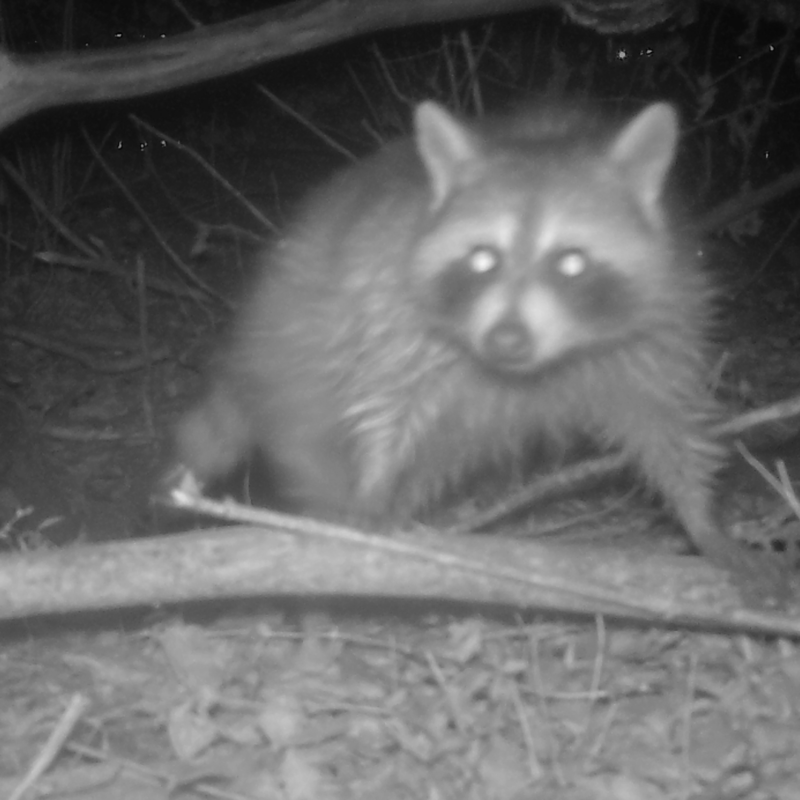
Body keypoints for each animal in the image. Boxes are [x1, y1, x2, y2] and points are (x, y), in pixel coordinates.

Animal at [173, 101, 764, 580]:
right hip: (299, 362)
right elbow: (388, 402)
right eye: (484, 258)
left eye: (570, 262)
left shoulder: (664, 325)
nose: (507, 339)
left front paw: (700, 514)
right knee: (317, 448)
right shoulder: (391, 310)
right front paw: (375, 476)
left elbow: (667, 420)